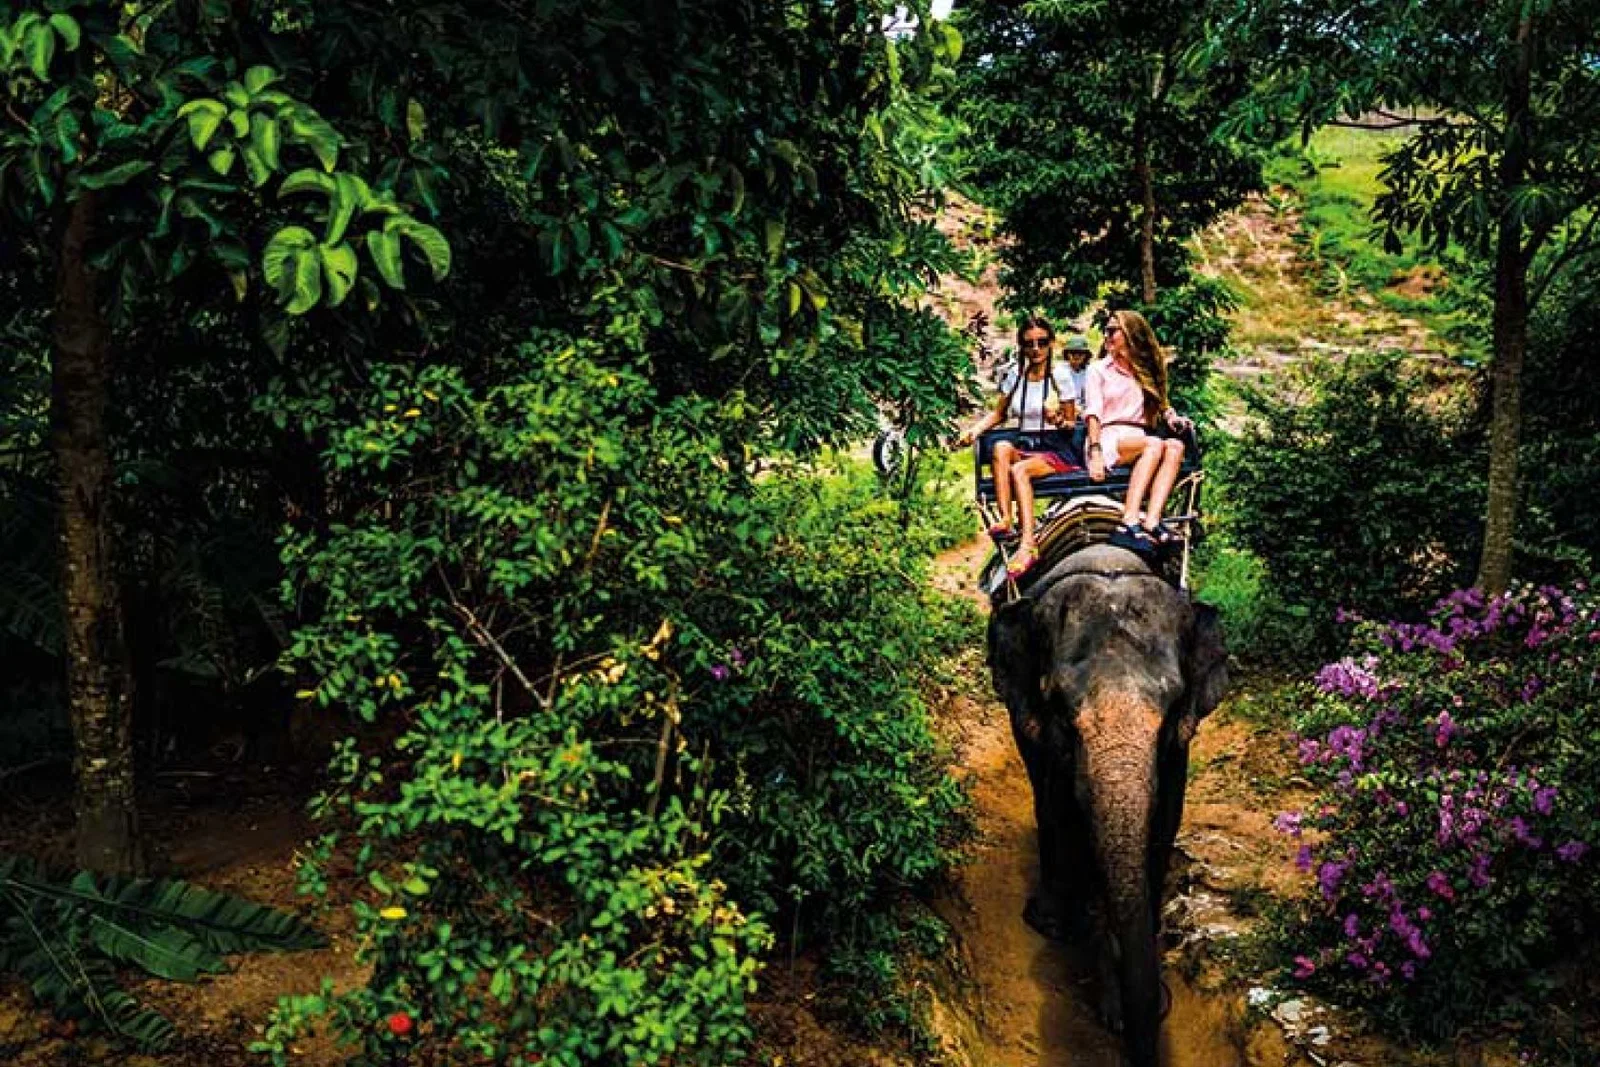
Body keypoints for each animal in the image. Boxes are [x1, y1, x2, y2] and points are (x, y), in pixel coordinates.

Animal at [987, 543, 1228, 1067]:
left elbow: (1163, 826)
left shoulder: (1178, 750)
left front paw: (1131, 1004)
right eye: (1059, 705)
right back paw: (1053, 916)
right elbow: (1064, 811)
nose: (1157, 1011)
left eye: (1175, 704)